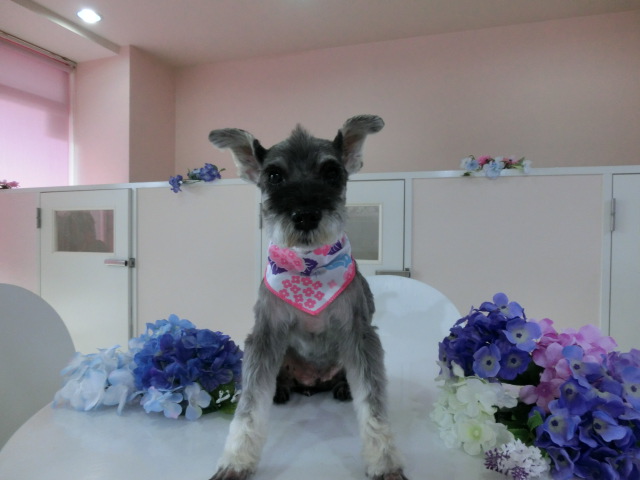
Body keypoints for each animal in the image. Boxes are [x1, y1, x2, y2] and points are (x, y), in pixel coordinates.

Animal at [207, 115, 408, 480]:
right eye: (274, 176)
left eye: (331, 172)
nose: (305, 216)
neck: (309, 269)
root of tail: (312, 383)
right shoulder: (265, 335)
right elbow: (249, 406)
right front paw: (236, 460)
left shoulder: (359, 335)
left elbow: (373, 402)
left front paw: (385, 462)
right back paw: (282, 389)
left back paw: (342, 388)